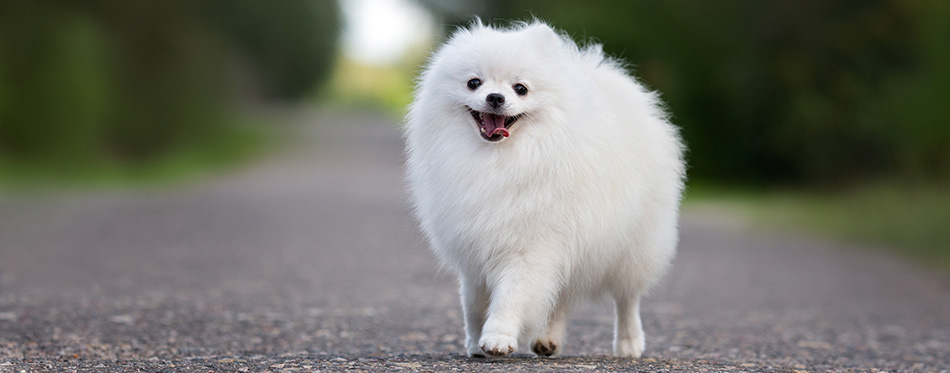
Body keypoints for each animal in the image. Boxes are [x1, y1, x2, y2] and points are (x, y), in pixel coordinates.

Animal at [406, 21, 688, 358]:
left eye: (520, 88)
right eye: (474, 83)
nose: (495, 97)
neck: (497, 161)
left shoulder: (529, 247)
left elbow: (511, 295)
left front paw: (497, 337)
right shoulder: (473, 248)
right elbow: (472, 304)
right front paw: (474, 342)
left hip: (633, 247)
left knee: (627, 299)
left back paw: (629, 343)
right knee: (562, 295)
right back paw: (548, 339)